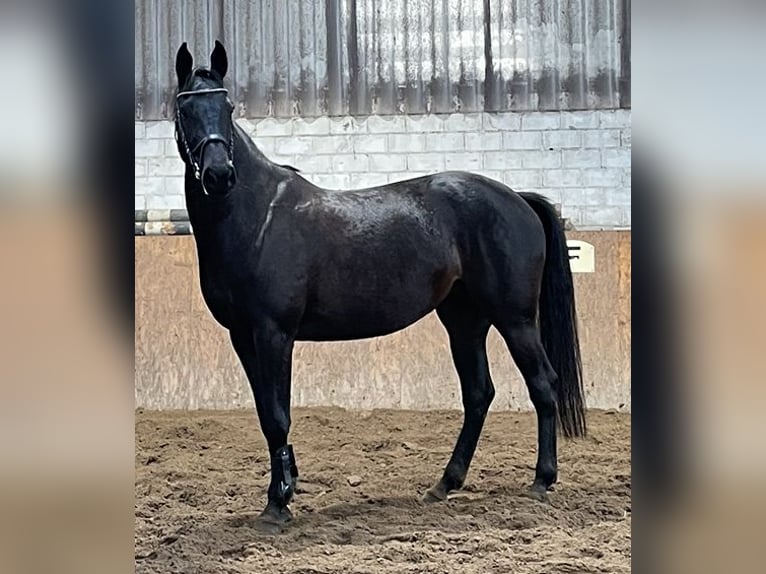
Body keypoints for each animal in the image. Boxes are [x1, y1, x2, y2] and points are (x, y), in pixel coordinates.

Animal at [172, 41, 588, 536]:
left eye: (228, 106)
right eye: (186, 109)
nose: (218, 175)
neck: (257, 217)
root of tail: (518, 198)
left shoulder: (274, 334)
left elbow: (277, 415)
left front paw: (277, 504)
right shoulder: (243, 337)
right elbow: (265, 413)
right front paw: (288, 484)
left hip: (515, 319)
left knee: (542, 384)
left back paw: (541, 481)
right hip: (464, 320)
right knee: (478, 393)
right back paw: (444, 484)